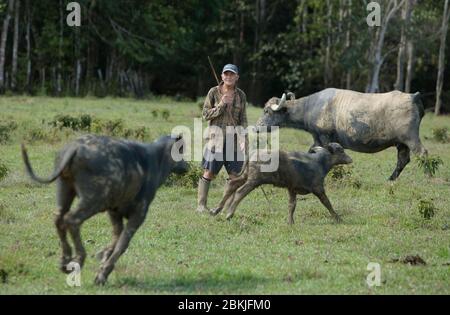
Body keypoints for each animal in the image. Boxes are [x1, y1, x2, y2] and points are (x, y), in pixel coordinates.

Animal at [258, 88, 428, 180]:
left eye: (267, 111)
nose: (258, 127)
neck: (311, 107)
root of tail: (413, 96)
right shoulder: (317, 138)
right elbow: (310, 152)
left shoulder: (325, 137)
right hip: (401, 143)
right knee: (403, 160)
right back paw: (390, 179)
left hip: (411, 138)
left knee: (423, 153)